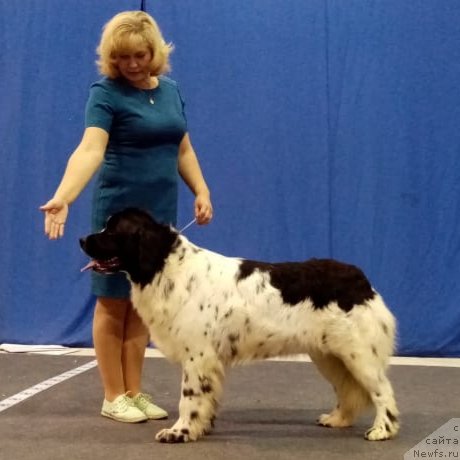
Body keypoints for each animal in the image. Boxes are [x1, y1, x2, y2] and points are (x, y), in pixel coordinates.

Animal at [79, 208, 398, 442]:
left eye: (112, 231)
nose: (82, 239)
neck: (165, 265)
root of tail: (362, 280)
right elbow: (205, 398)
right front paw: (201, 427)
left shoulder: (197, 355)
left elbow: (188, 397)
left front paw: (180, 432)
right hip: (329, 355)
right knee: (348, 390)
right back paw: (337, 419)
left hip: (358, 354)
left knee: (382, 390)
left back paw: (383, 430)